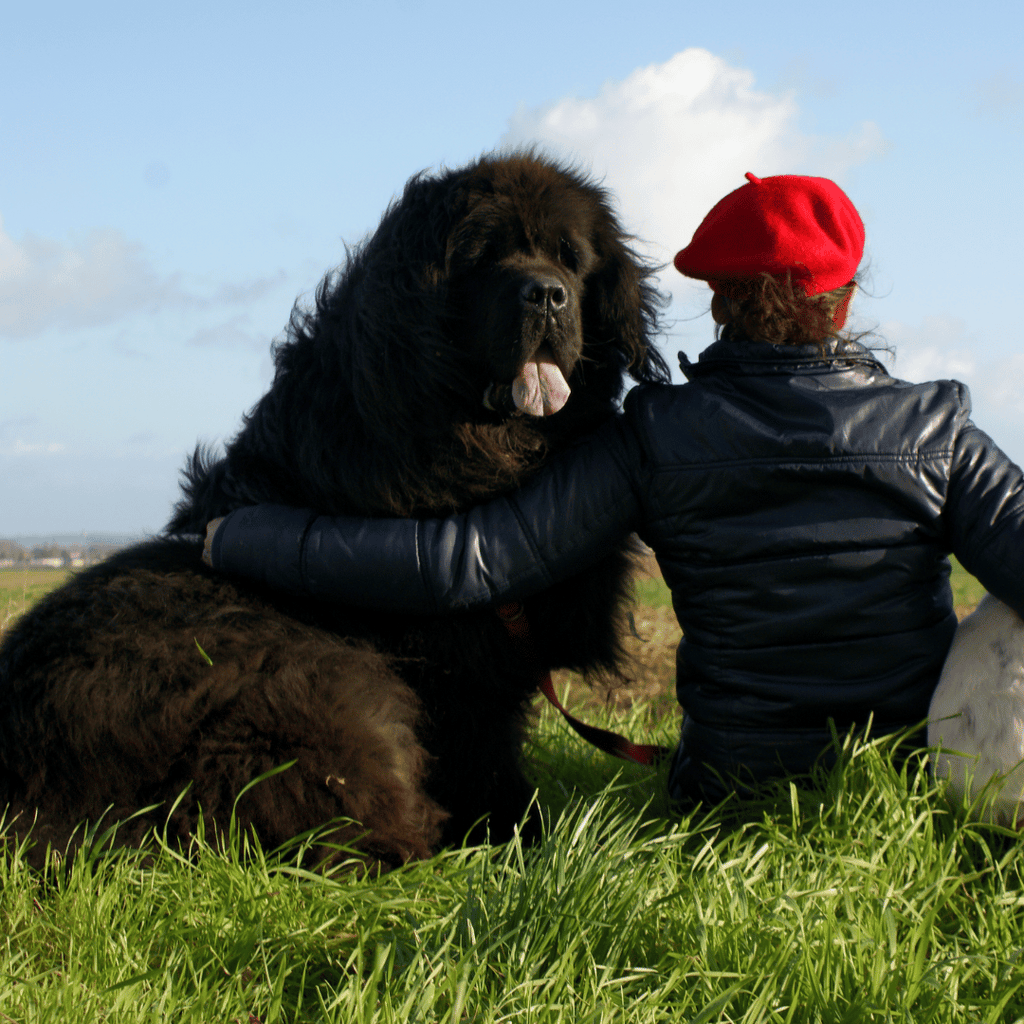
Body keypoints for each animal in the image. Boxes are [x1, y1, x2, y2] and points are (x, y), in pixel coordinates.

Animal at [0, 153, 667, 872]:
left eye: (571, 259)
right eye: (485, 257)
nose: (545, 294)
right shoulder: (452, 658)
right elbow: (480, 749)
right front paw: (510, 834)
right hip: (319, 689)